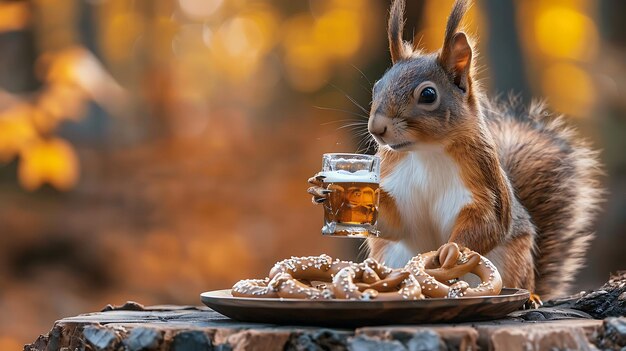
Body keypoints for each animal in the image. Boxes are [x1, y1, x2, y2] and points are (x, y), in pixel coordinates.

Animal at [308, 0, 600, 302]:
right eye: (377, 87)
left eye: (428, 95)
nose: (377, 128)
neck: (426, 152)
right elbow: (393, 222)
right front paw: (323, 190)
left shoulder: (484, 184)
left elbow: (487, 223)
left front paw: (452, 249)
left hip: (512, 261)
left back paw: (530, 296)